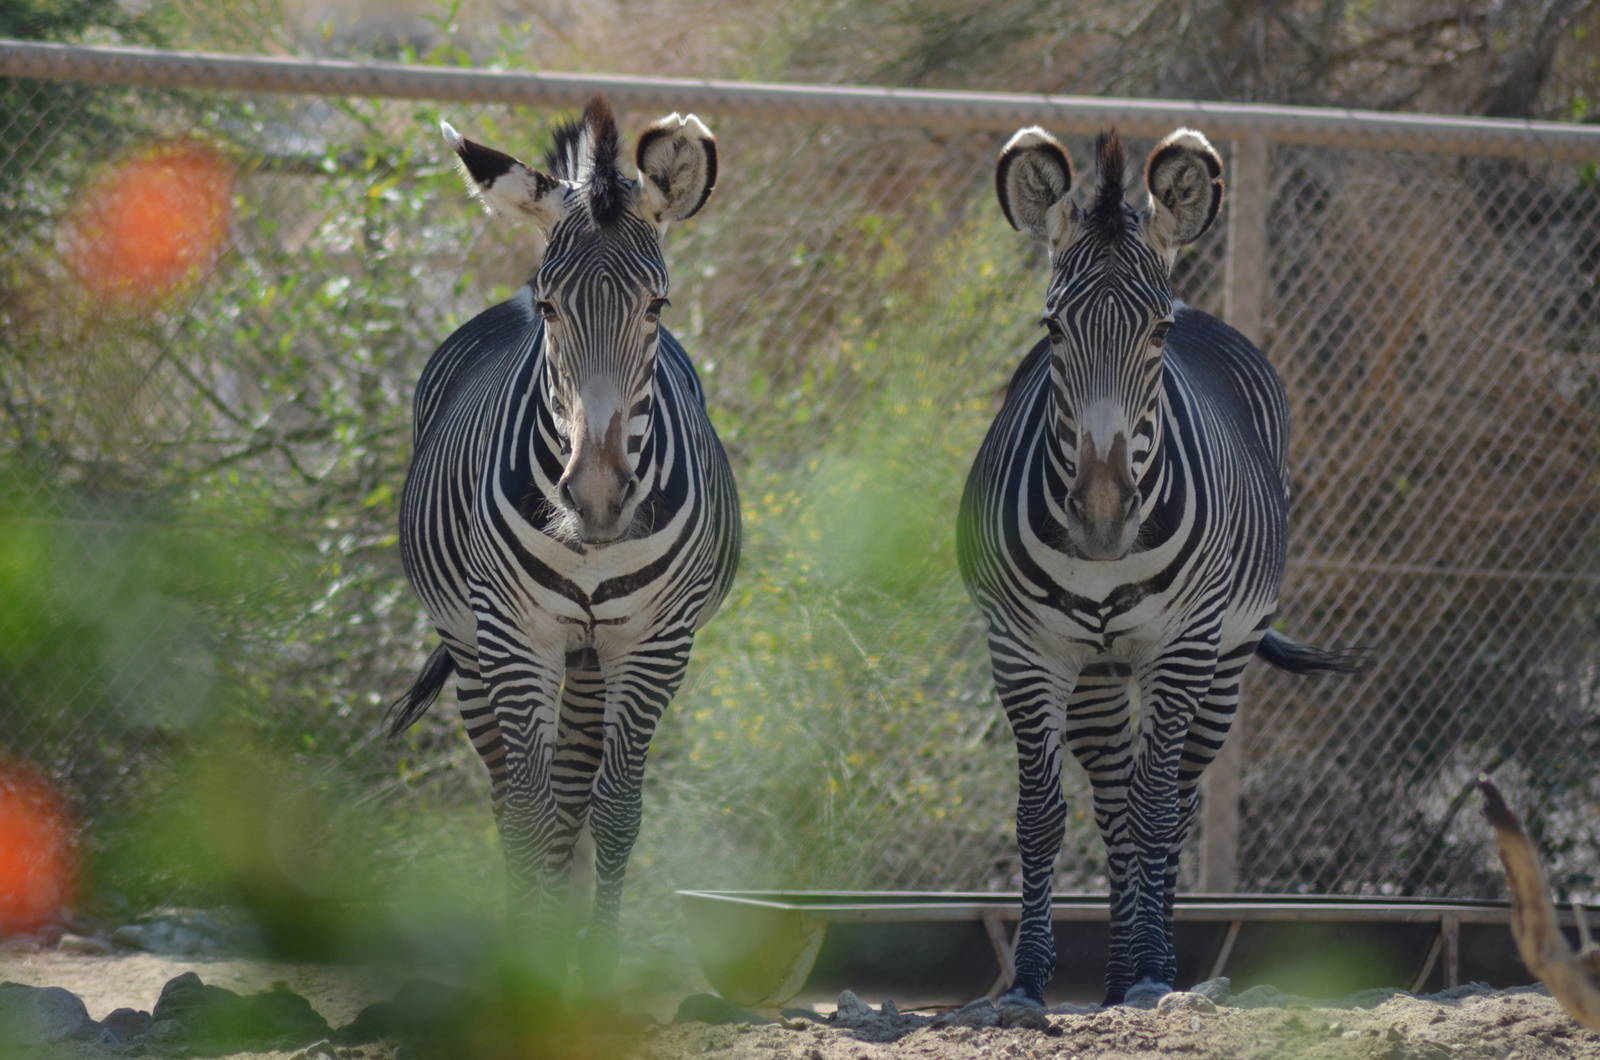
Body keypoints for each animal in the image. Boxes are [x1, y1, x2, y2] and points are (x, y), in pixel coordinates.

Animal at [389, 96, 739, 984]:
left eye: (658, 307)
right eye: (551, 309)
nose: (598, 497)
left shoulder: (656, 643)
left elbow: (612, 808)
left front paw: (594, 969)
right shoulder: (517, 637)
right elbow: (530, 809)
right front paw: (531, 965)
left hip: (592, 654)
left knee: (576, 787)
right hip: (472, 643)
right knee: (512, 792)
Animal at [956, 126, 1362, 1008]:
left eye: (1157, 334)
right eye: (1052, 328)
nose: (1103, 517)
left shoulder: (1182, 648)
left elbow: (1154, 810)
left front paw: (1150, 973)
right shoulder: (1023, 649)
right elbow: (1043, 814)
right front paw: (1028, 983)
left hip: (1225, 662)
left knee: (1171, 800)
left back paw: (1154, 964)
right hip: (1100, 674)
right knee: (1113, 800)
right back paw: (1111, 976)